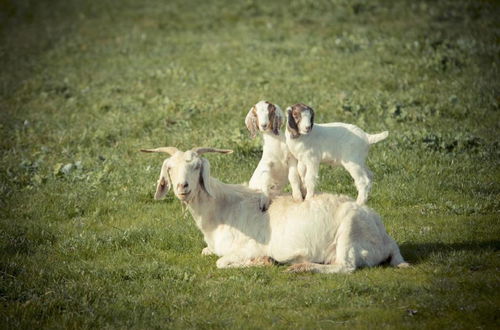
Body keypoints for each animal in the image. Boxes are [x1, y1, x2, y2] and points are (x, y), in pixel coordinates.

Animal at [140, 147, 406, 274]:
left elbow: (221, 262)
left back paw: (301, 267)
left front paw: (265, 261)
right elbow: (208, 253)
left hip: (349, 231)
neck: (220, 210)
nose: (182, 187)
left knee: (346, 266)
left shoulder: (249, 247)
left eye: (196, 167)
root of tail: (387, 238)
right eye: (170, 168)